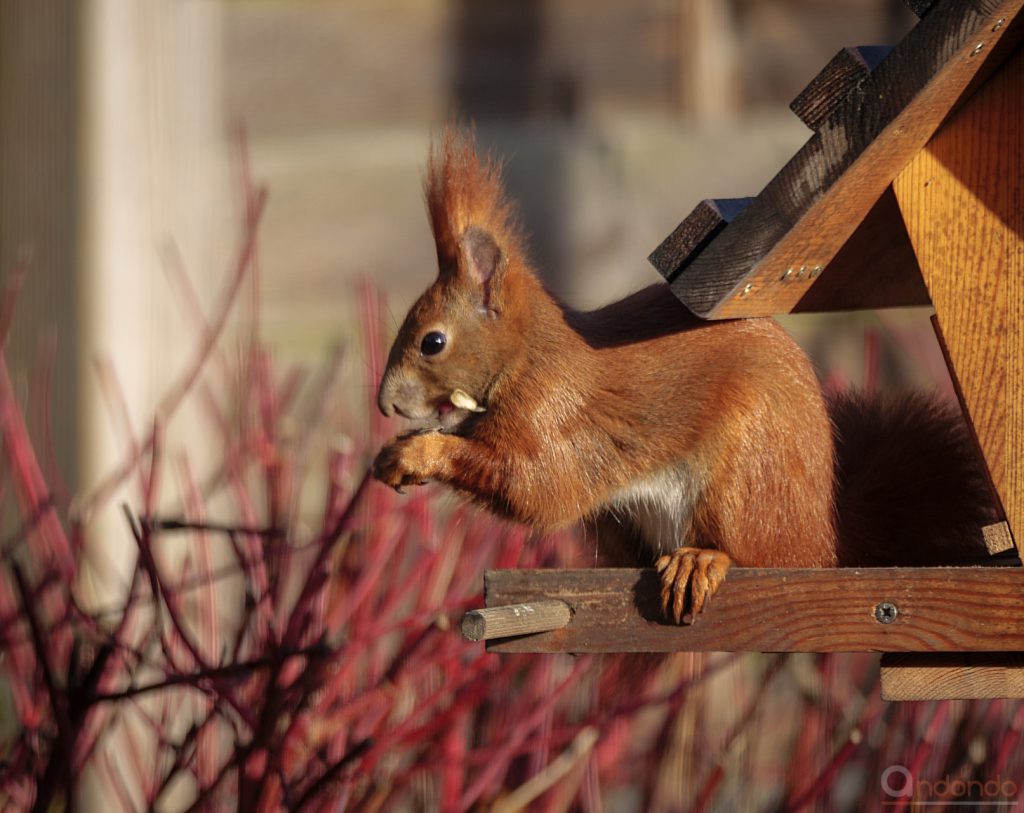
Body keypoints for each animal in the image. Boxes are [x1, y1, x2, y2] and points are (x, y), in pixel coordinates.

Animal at [372, 130, 995, 622]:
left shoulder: (560, 417)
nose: (385, 406)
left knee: (758, 553)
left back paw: (702, 559)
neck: (527, 359)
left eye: (432, 342)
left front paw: (418, 453)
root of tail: (825, 536)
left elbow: (539, 487)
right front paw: (397, 452)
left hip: (744, 476)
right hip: (620, 521)